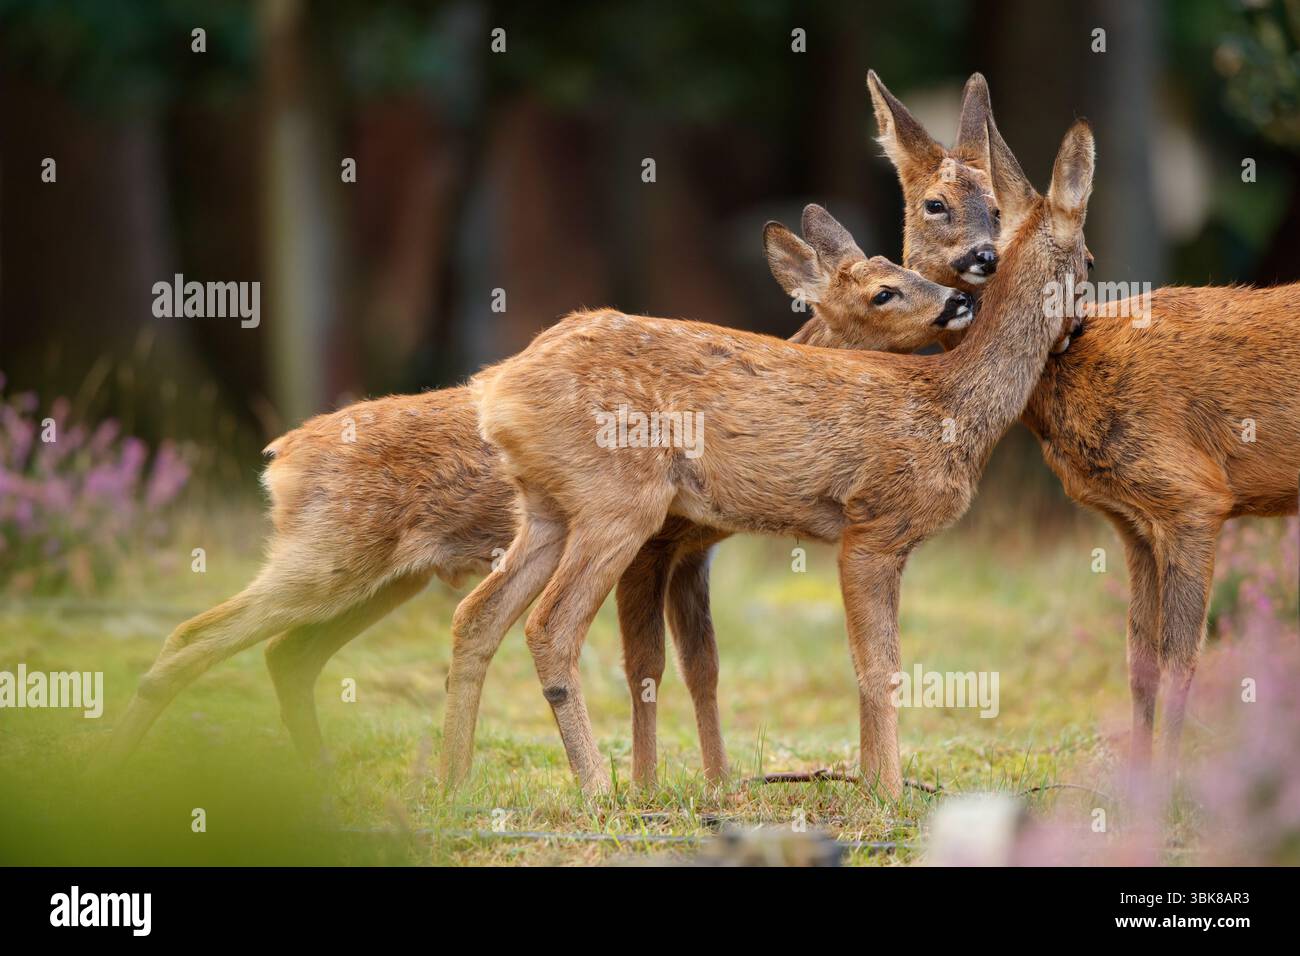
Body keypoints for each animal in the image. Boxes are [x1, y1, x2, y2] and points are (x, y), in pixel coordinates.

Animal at [89, 206, 974, 788]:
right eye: (883, 291)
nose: (958, 300)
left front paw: (715, 786)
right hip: (330, 551)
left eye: (907, 271)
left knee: (288, 653)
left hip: (383, 578)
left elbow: (703, 667)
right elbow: (652, 664)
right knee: (198, 635)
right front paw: (657, 789)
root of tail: (280, 459)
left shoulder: (691, 552)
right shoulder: (655, 544)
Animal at [455, 116, 1095, 795]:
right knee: (550, 626)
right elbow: (879, 667)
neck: (951, 404)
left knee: (476, 615)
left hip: (548, 507)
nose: (1080, 326)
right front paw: (887, 792)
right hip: (619, 501)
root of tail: (496, 388)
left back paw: (452, 781)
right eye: (1089, 259)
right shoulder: (874, 524)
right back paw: (600, 792)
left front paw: (867, 783)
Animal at [871, 72, 1300, 784]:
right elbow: (1138, 658)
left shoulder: (1196, 497)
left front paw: (1171, 783)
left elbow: (1183, 658)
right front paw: (1139, 781)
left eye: (994, 208)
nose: (982, 259)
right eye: (934, 205)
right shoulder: (1132, 522)